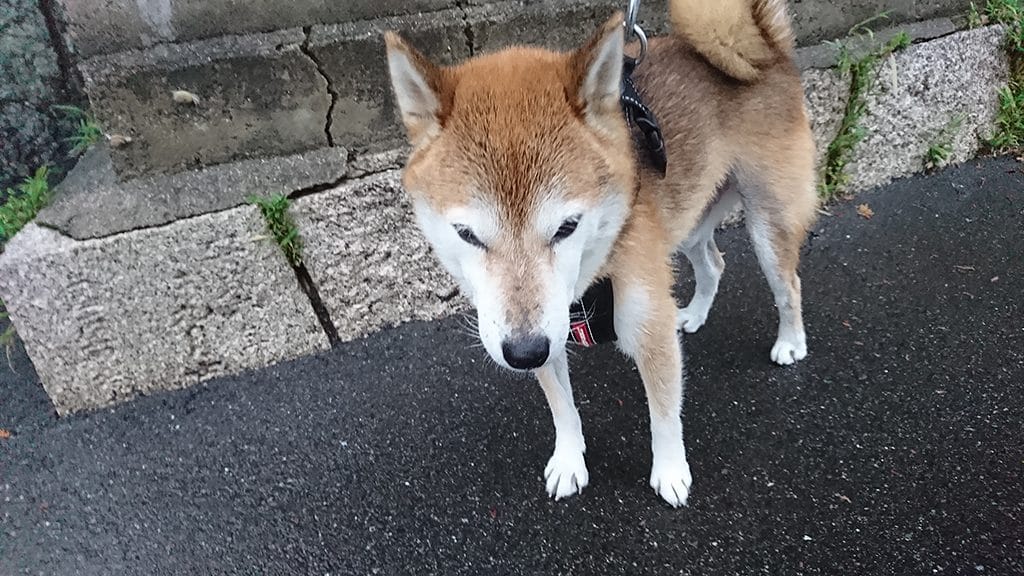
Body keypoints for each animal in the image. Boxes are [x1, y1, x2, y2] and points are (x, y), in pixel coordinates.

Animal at [382, 0, 815, 502]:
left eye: (567, 227)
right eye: (467, 234)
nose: (523, 353)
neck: (595, 270)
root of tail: (770, 54)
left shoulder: (647, 328)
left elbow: (664, 416)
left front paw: (670, 473)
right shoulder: (546, 331)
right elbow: (563, 410)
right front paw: (570, 461)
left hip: (767, 224)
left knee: (789, 285)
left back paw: (790, 342)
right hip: (686, 218)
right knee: (713, 263)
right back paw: (694, 313)